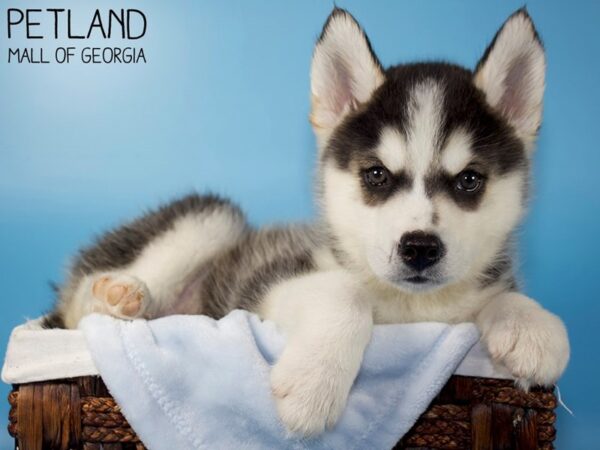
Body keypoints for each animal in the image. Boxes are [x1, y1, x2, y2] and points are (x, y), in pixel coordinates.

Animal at [47, 7, 568, 436]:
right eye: (376, 175)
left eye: (469, 180)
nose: (419, 248)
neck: (408, 309)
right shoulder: (268, 286)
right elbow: (346, 293)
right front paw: (313, 385)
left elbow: (500, 296)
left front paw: (533, 327)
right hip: (213, 217)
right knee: (77, 309)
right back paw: (120, 296)